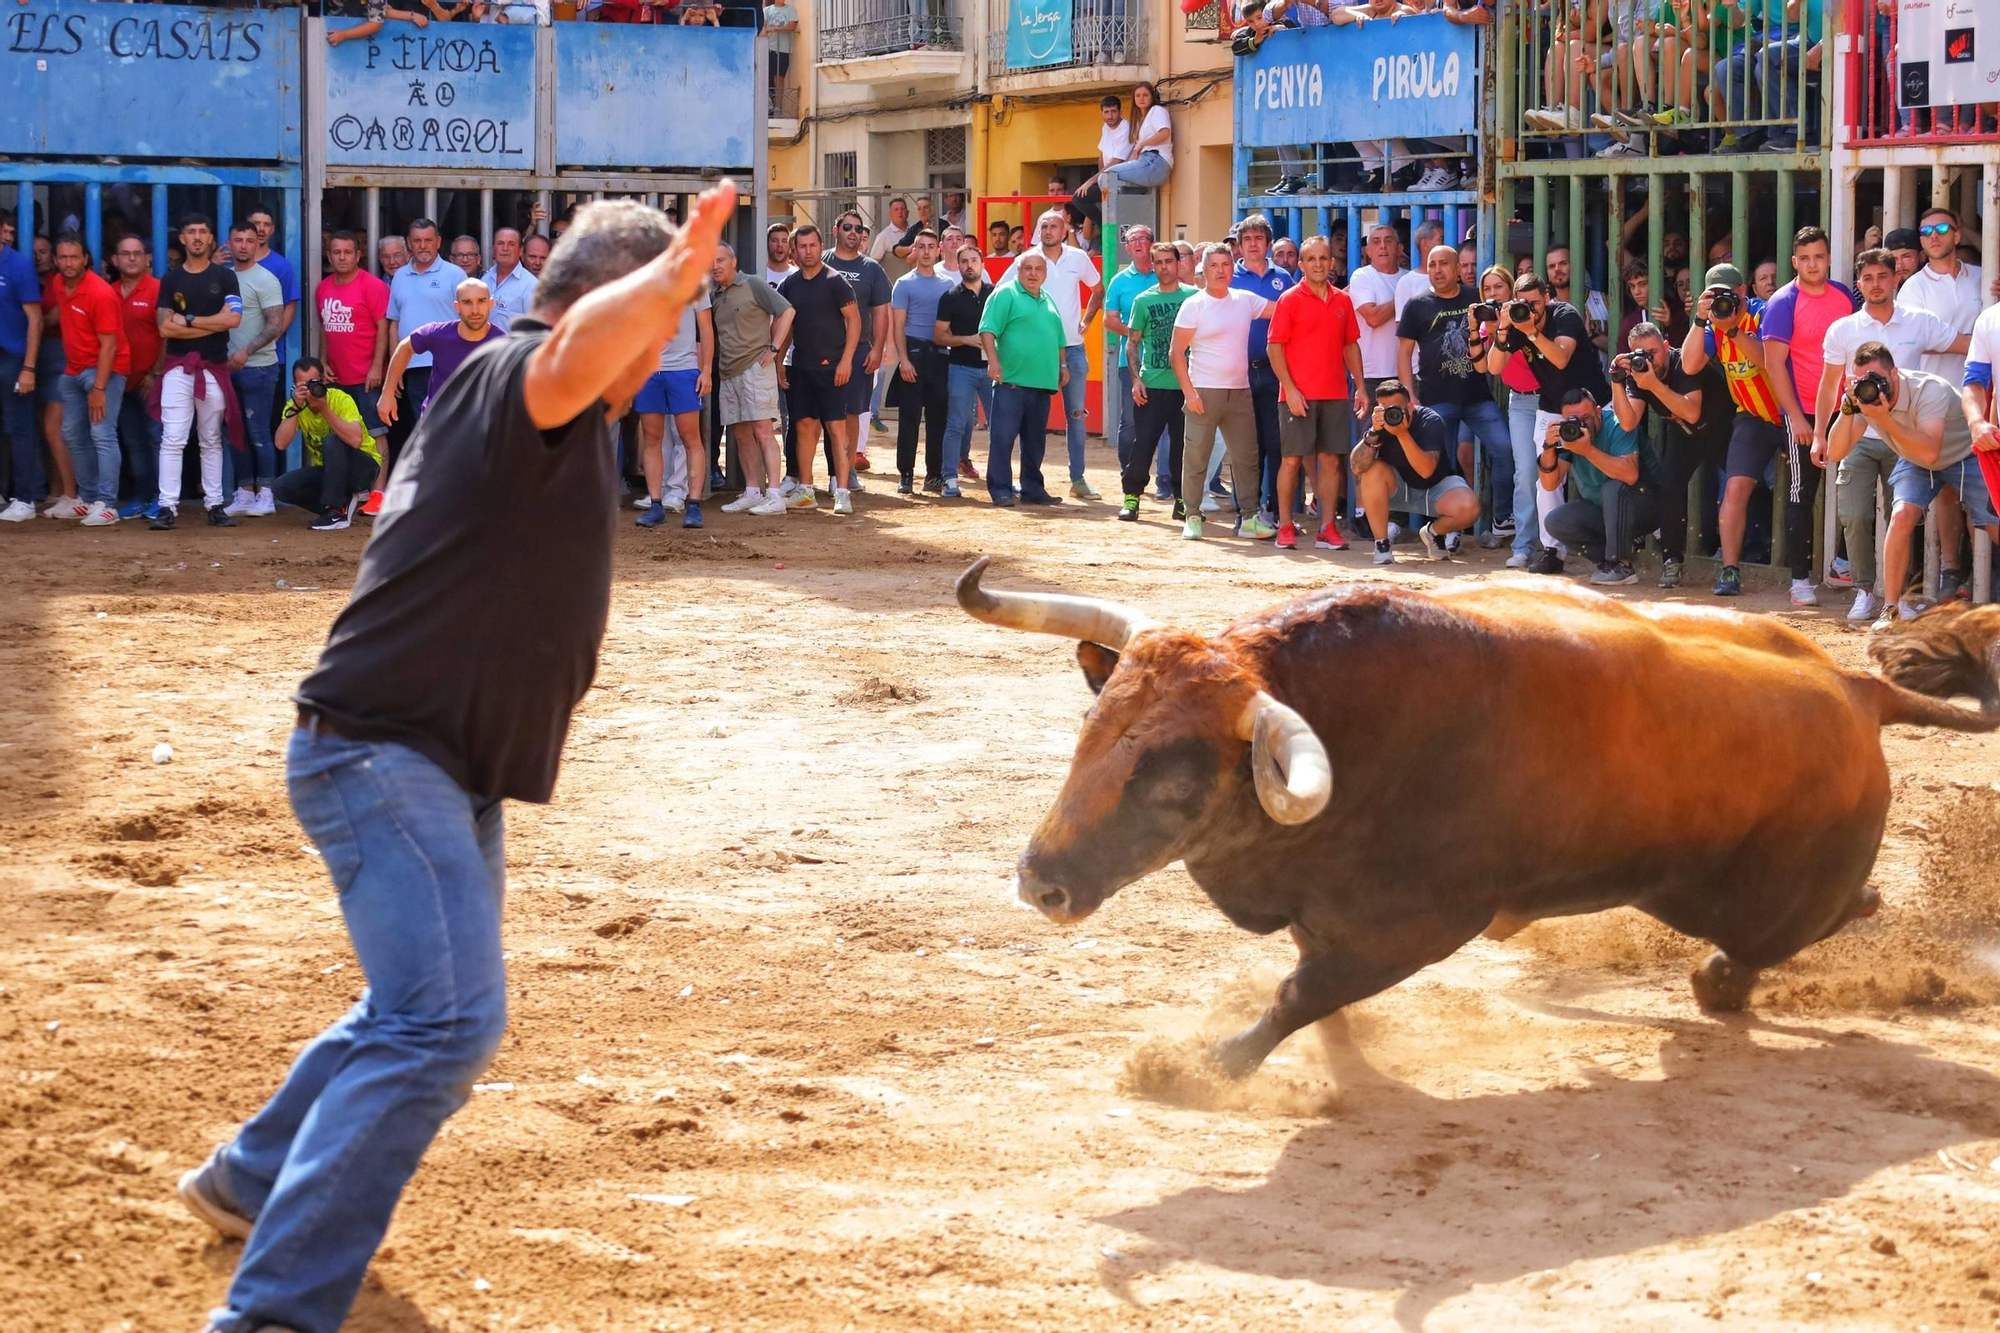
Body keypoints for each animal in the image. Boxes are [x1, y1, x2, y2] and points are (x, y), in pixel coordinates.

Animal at [956, 556, 2000, 1072]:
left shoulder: (1419, 928)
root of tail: (1858, 690)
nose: (1041, 882)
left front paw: (1208, 1066)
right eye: (1096, 727)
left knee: (1787, 932)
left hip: (1745, 902)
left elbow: (1299, 996)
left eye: (1174, 774)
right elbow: (1311, 984)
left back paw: (1735, 976)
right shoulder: (1326, 914)